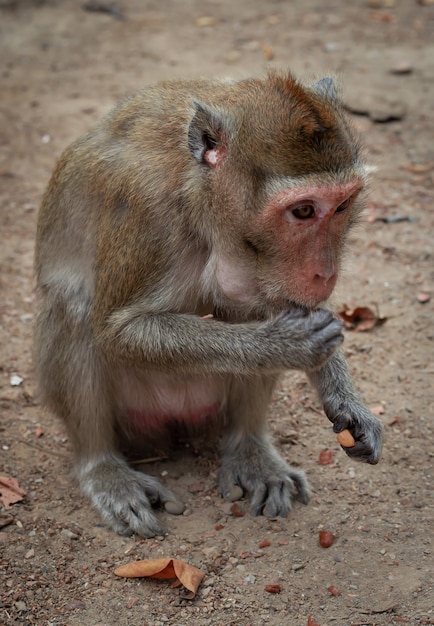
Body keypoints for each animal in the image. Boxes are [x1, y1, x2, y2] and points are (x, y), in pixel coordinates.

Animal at [35, 70, 384, 532]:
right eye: (304, 211)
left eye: (342, 205)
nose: (324, 273)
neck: (202, 197)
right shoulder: (146, 213)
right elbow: (118, 331)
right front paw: (282, 345)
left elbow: (284, 304)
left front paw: (347, 403)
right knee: (73, 311)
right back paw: (103, 467)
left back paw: (251, 450)